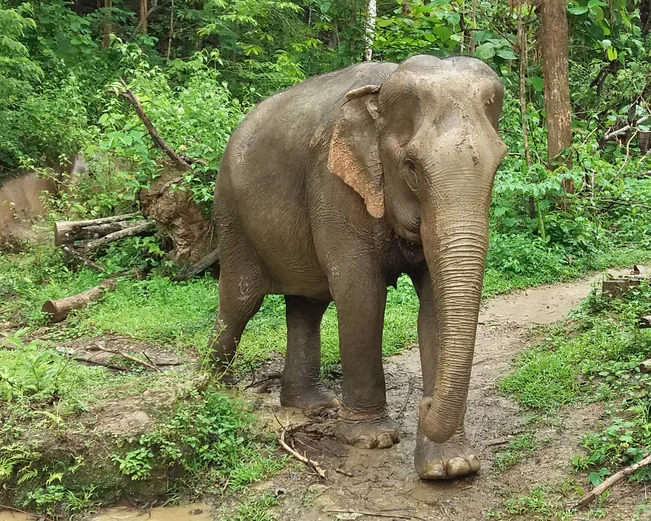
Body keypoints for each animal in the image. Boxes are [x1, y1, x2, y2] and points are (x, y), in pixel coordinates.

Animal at [208, 54, 507, 480]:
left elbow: (435, 306)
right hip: (231, 215)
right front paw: (373, 439)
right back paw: (214, 388)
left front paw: (451, 466)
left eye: (498, 164)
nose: (425, 404)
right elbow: (361, 293)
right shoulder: (333, 186)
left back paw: (313, 406)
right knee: (239, 302)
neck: (380, 93)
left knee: (306, 306)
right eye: (411, 166)